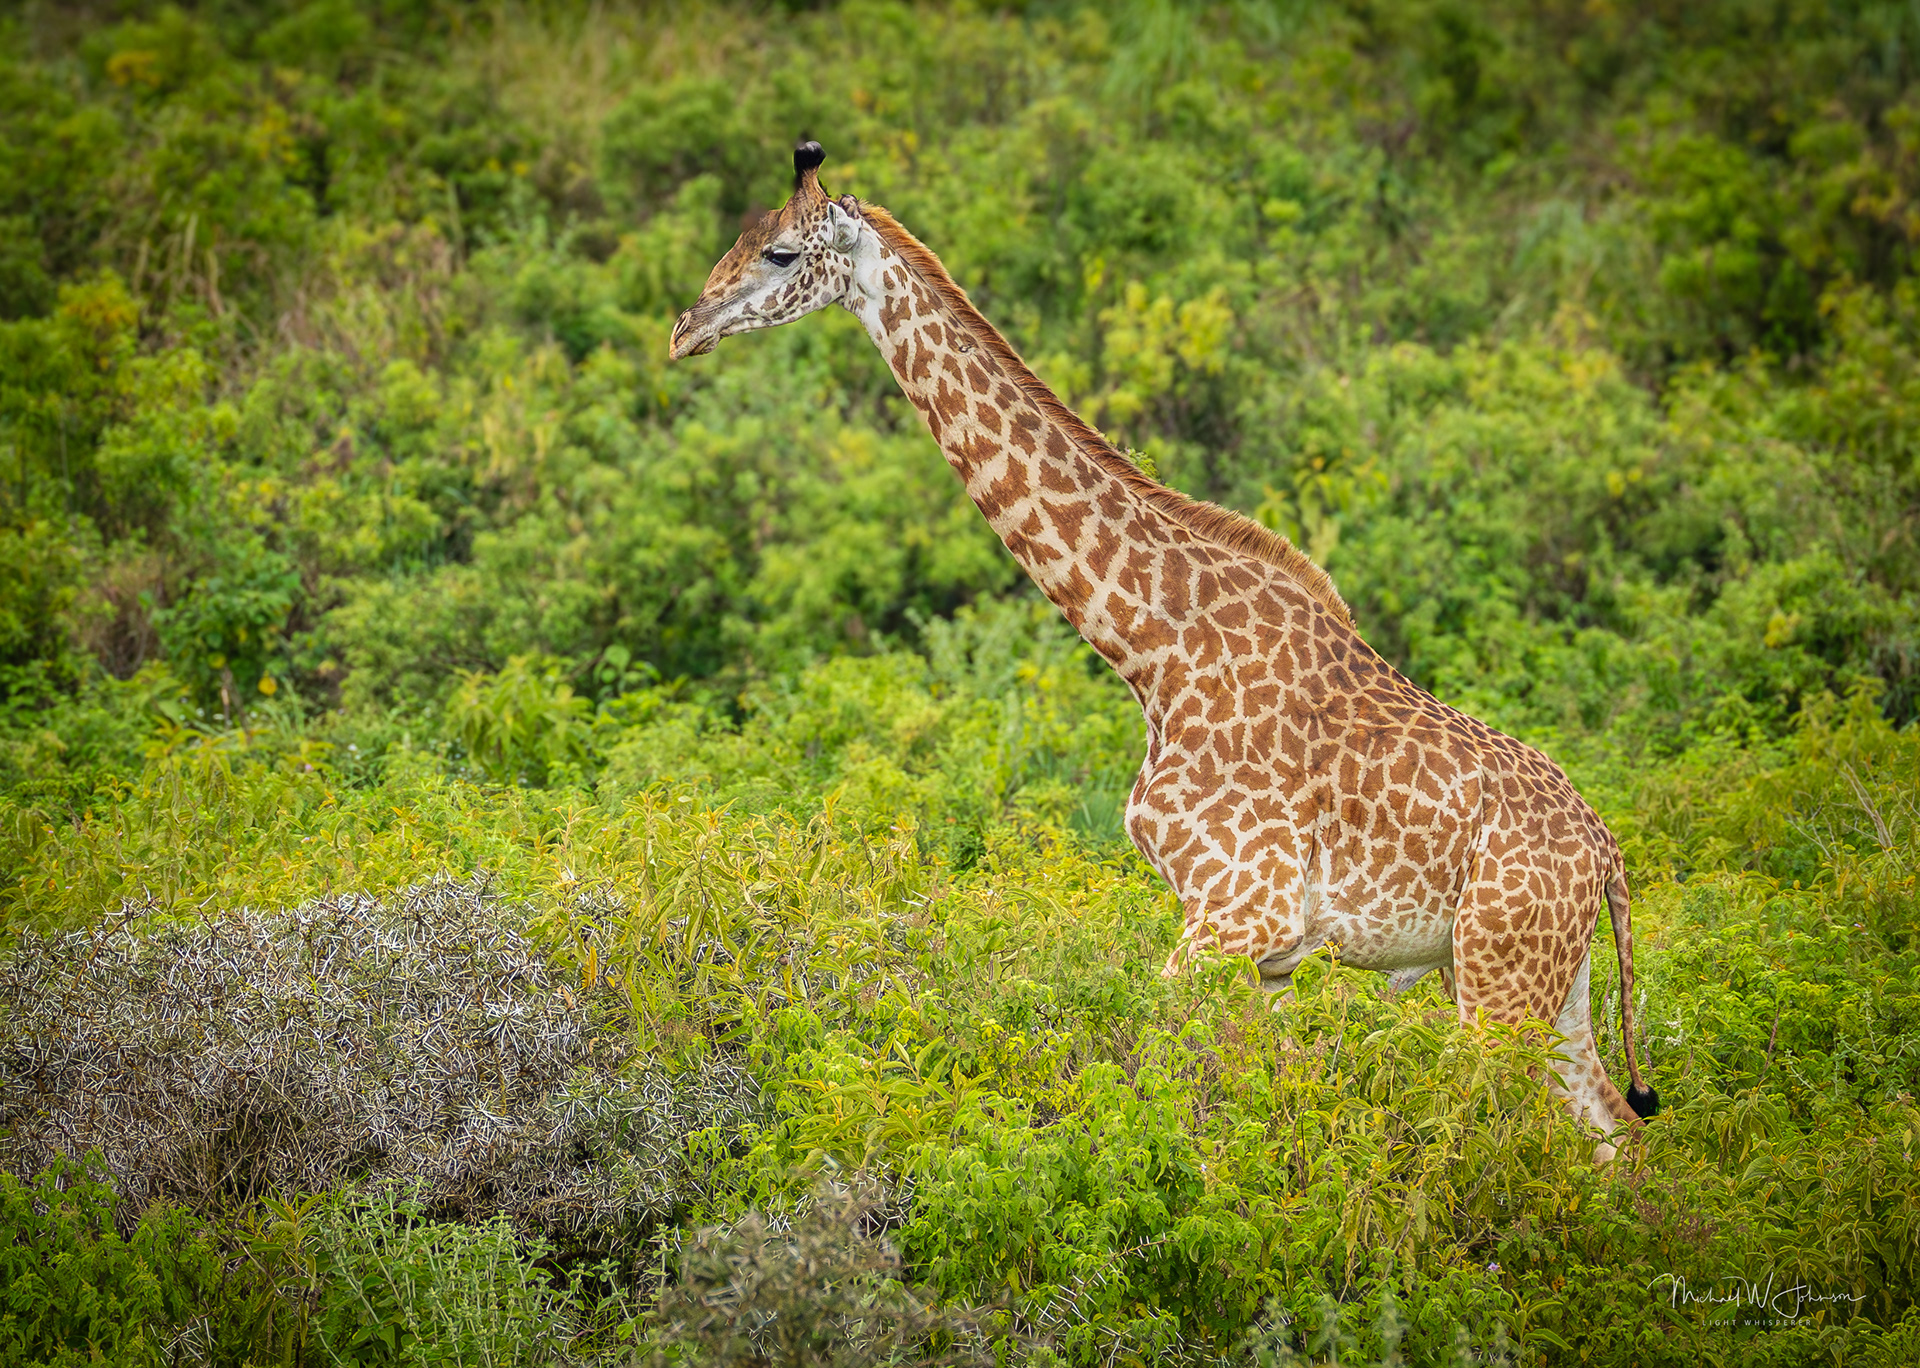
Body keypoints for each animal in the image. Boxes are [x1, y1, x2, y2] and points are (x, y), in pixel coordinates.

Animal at [670, 141, 1659, 1156]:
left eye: (782, 253)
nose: (684, 331)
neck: (1154, 649)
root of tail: (1609, 853)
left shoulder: (1237, 910)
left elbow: (1156, 1073)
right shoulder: (1265, 951)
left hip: (1501, 979)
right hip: (1543, 982)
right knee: (1619, 1137)